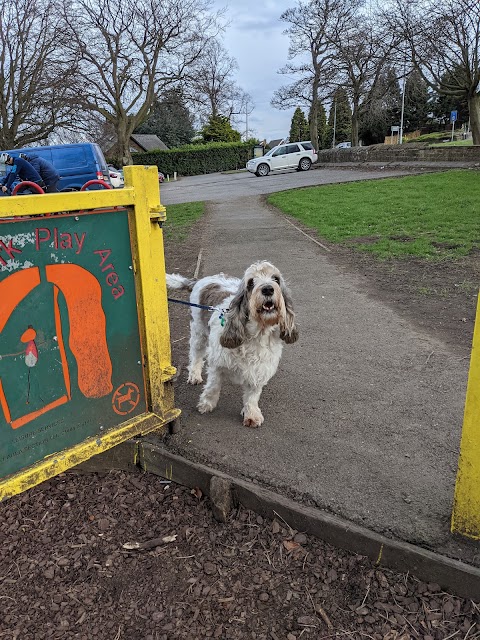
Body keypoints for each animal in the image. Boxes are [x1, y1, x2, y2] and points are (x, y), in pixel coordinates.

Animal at [167, 262, 298, 428]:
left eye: (276, 279)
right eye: (251, 282)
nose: (268, 289)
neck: (256, 334)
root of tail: (202, 279)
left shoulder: (260, 369)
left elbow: (253, 395)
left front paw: (251, 414)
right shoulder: (217, 364)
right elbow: (213, 386)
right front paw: (206, 404)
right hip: (198, 332)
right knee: (196, 355)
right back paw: (194, 375)